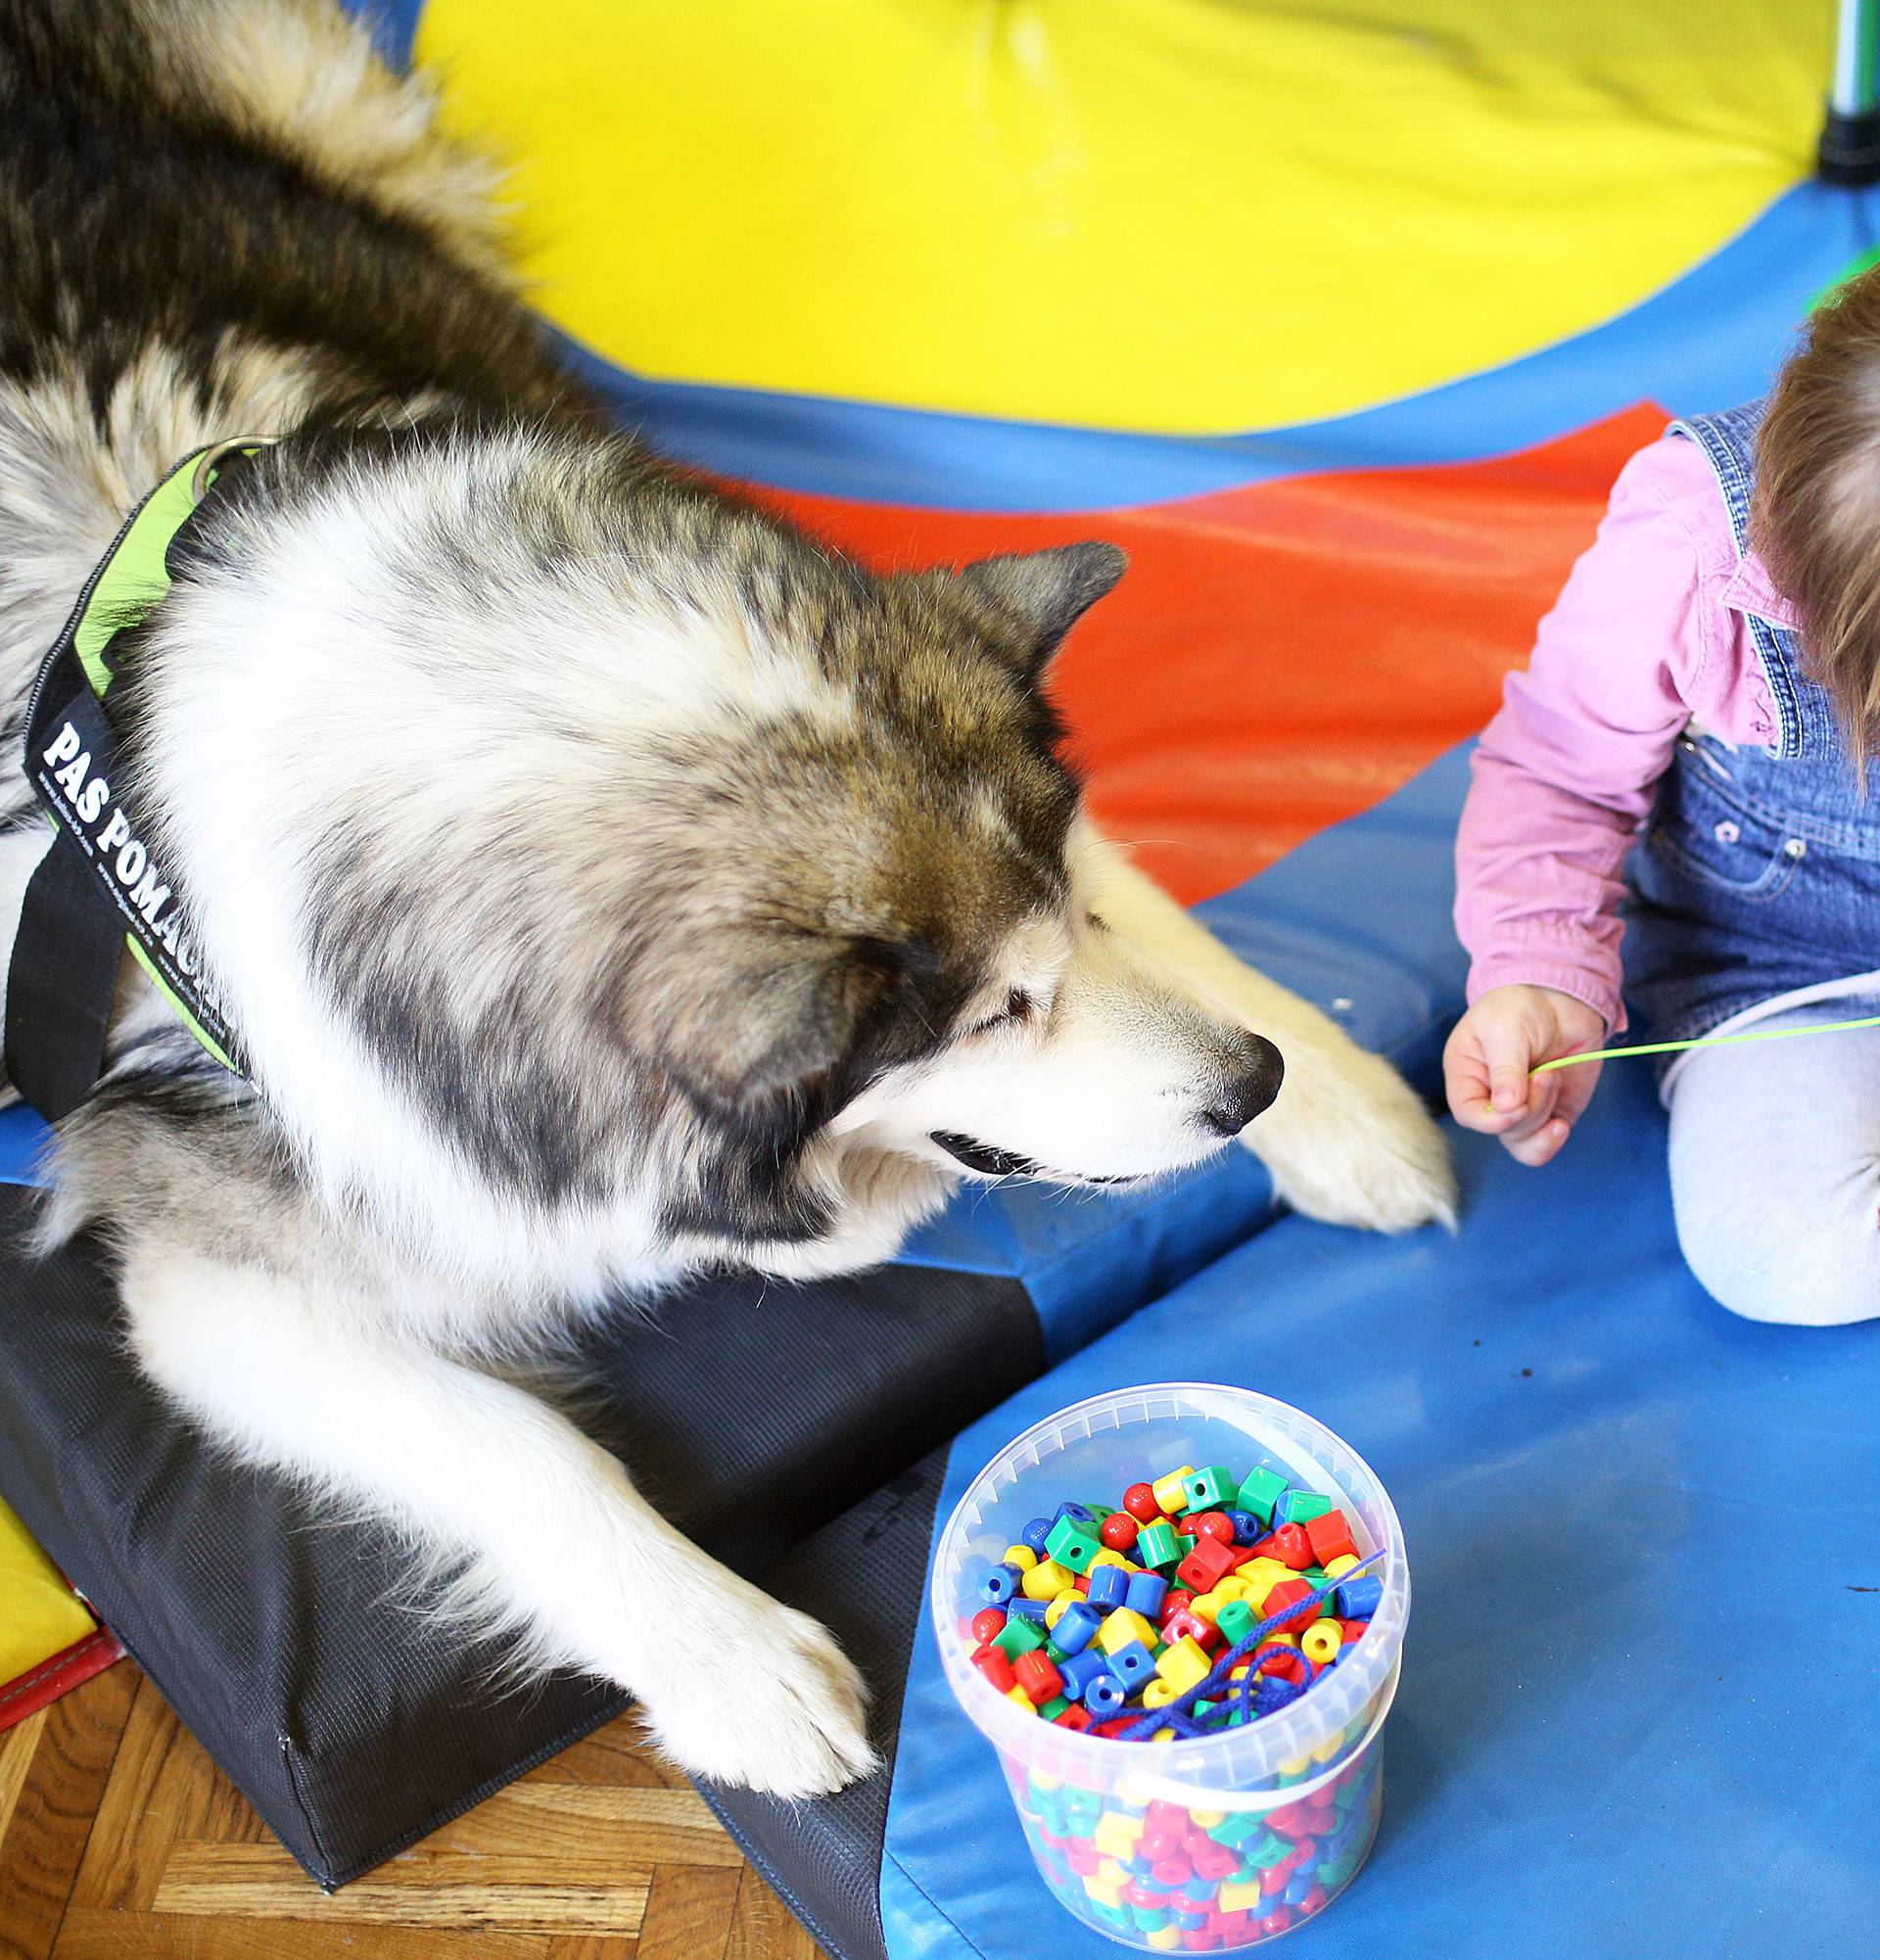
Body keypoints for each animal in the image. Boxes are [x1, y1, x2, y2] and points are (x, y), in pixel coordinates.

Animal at [0, 0, 1458, 1795]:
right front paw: (730, 1654)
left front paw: (1340, 1103)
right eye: (992, 1016)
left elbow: (1168, 914)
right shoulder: (209, 1275)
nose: (1248, 1086)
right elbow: (507, 1436)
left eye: (1052, 941)